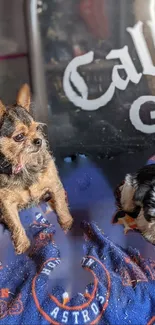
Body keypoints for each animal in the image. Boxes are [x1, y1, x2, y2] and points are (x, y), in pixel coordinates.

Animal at [0, 83, 73, 253]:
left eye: (37, 128)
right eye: (19, 137)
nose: (38, 140)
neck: (25, 166)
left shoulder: (54, 185)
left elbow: (61, 205)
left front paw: (66, 222)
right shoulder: (6, 204)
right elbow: (15, 224)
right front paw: (22, 245)